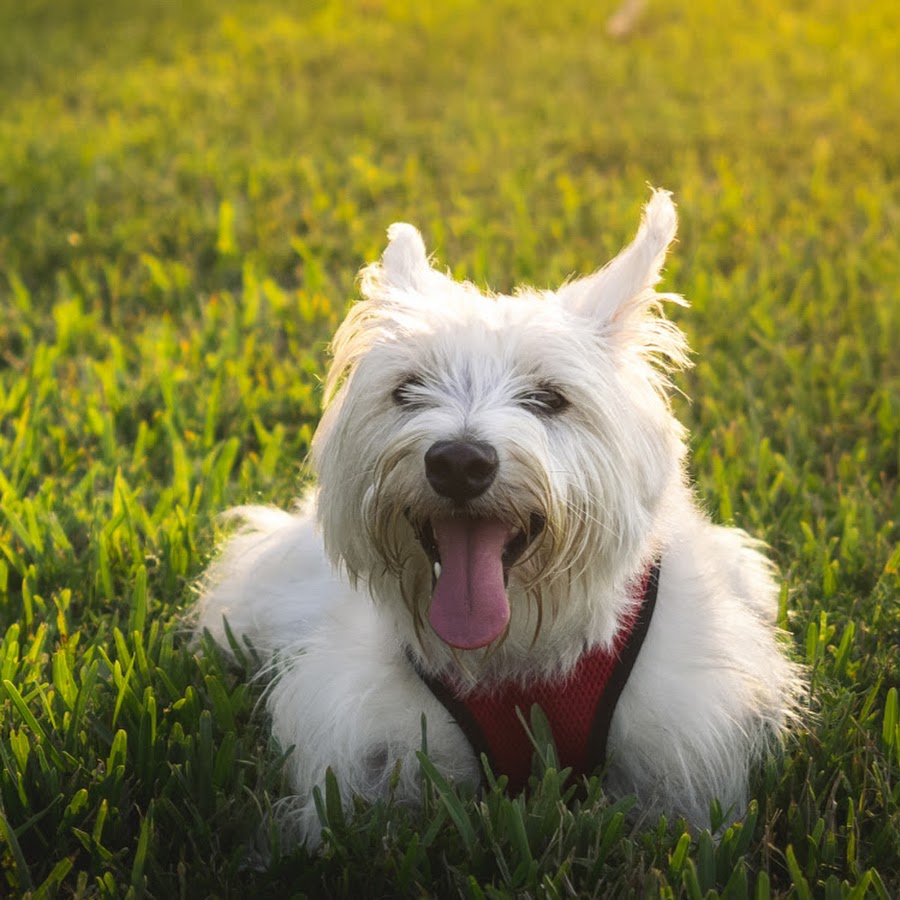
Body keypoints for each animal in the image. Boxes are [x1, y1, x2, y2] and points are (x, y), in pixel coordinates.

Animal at [195, 190, 800, 844]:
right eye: (408, 389)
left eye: (548, 398)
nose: (459, 463)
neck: (518, 657)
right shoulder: (364, 737)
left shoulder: (684, 738)